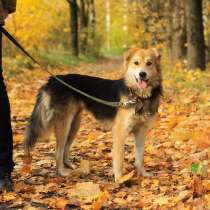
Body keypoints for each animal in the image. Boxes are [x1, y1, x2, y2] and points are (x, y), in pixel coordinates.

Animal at [24, 47, 162, 182]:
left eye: (149, 63)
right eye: (136, 63)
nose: (142, 74)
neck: (139, 96)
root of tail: (53, 80)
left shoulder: (141, 132)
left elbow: (140, 157)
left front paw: (143, 174)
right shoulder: (120, 132)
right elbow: (119, 159)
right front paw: (119, 179)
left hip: (74, 124)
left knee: (65, 148)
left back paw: (70, 165)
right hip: (64, 124)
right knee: (58, 150)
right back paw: (62, 172)